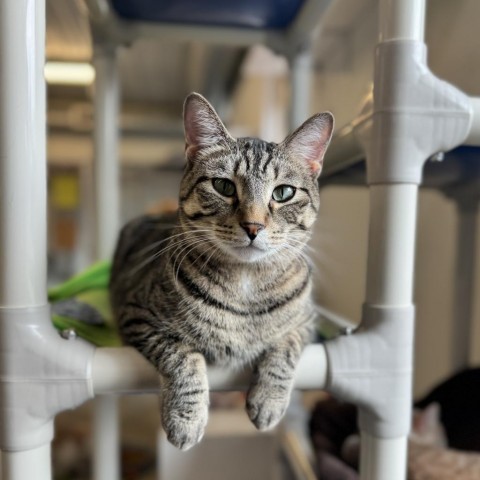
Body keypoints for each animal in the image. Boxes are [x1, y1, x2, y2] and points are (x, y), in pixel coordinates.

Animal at [109, 93, 334, 450]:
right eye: (223, 186)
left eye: (283, 192)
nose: (253, 226)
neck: (246, 284)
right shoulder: (137, 314)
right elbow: (182, 356)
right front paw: (186, 419)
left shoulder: (307, 323)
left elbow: (285, 349)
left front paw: (268, 402)